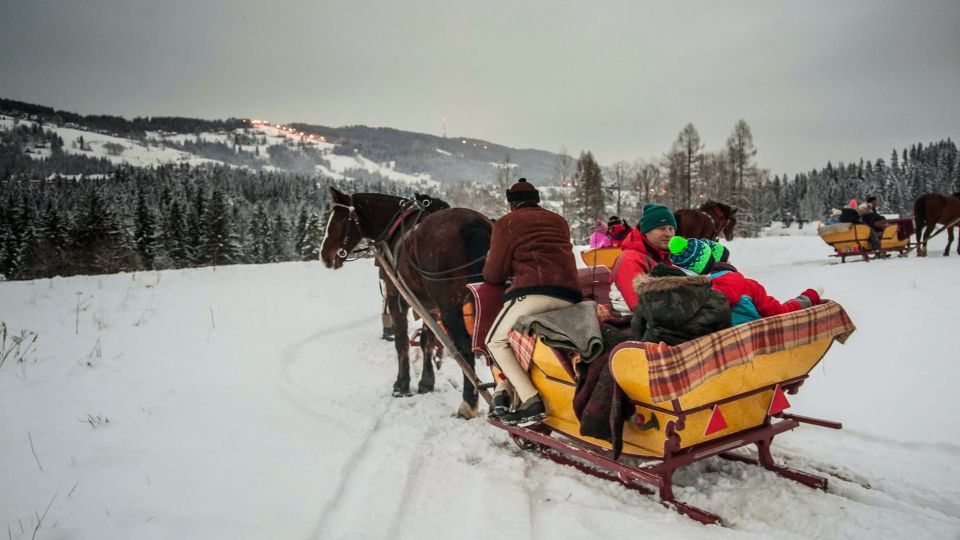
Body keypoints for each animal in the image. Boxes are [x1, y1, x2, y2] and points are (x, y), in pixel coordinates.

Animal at [320, 187, 492, 418]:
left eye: (338, 219)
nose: (324, 256)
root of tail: (473, 223)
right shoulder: (429, 306)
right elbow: (427, 341)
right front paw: (426, 383)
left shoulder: (397, 297)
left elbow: (401, 341)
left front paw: (401, 385)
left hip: (450, 304)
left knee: (465, 347)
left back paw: (468, 404)